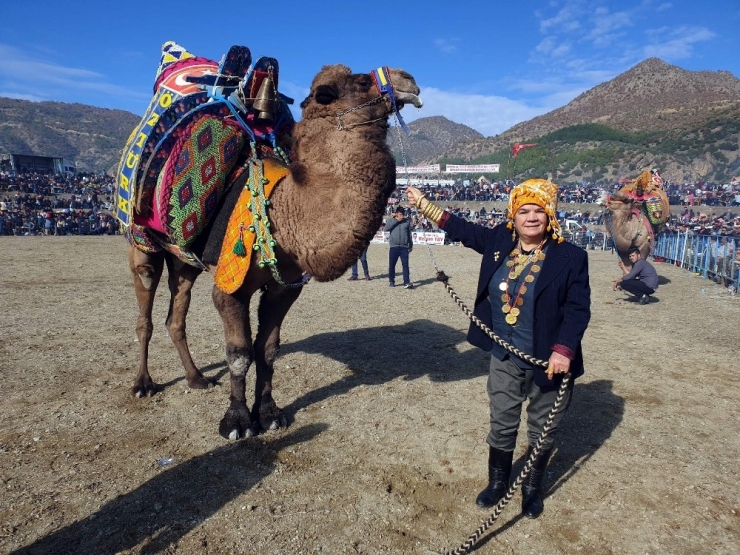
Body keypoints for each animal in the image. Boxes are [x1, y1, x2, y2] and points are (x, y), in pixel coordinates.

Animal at [119, 42, 424, 438]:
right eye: (359, 81)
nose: (409, 80)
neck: (284, 212)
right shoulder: (230, 286)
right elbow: (239, 354)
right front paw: (236, 421)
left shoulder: (284, 288)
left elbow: (267, 351)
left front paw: (269, 413)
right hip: (142, 245)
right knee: (146, 313)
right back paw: (143, 384)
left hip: (184, 259)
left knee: (177, 314)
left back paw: (197, 378)